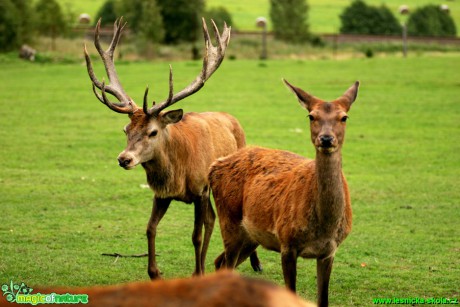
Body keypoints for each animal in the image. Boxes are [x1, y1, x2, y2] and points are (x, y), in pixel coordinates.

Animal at [83, 18, 262, 280]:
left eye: (153, 132)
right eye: (125, 129)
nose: (124, 159)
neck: (178, 174)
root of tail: (232, 118)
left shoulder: (199, 190)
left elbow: (196, 235)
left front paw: (196, 273)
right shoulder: (161, 194)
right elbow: (150, 228)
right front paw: (155, 273)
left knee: (218, 220)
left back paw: (253, 263)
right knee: (212, 219)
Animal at [209, 80, 360, 306]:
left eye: (344, 117)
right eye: (311, 116)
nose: (326, 139)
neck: (324, 227)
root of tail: (214, 166)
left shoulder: (329, 251)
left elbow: (323, 300)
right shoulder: (287, 243)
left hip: (250, 236)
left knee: (220, 262)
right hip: (229, 220)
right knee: (225, 265)